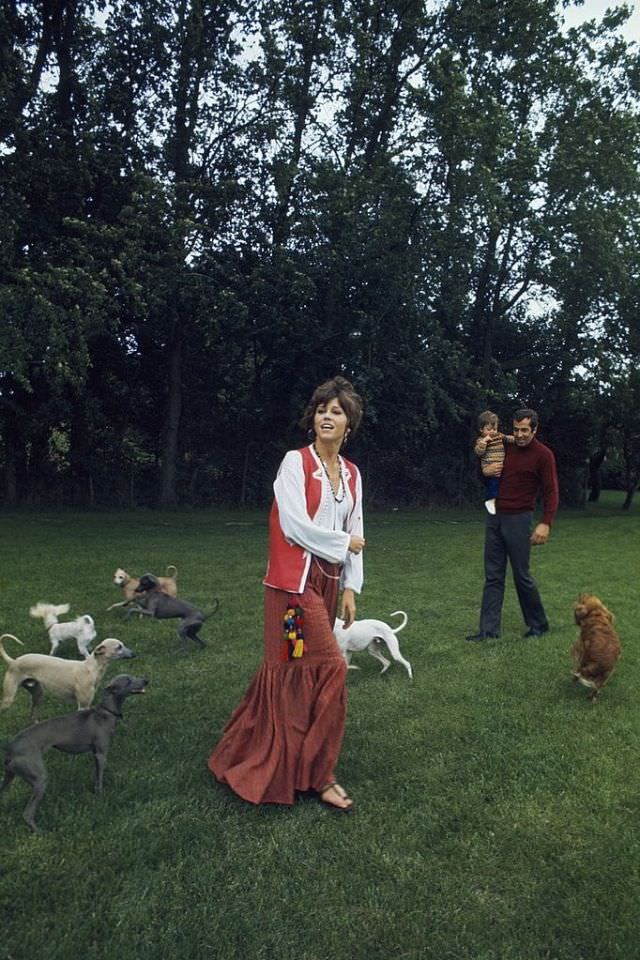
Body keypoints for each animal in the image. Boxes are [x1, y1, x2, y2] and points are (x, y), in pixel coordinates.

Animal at [0, 676, 148, 832]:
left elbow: (96, 776)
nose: (146, 680)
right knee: (27, 813)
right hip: (39, 778)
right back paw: (41, 831)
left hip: (9, 776)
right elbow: (100, 778)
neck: (105, 713)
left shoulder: (95, 753)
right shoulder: (101, 754)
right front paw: (101, 797)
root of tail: (10, 748)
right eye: (128, 681)